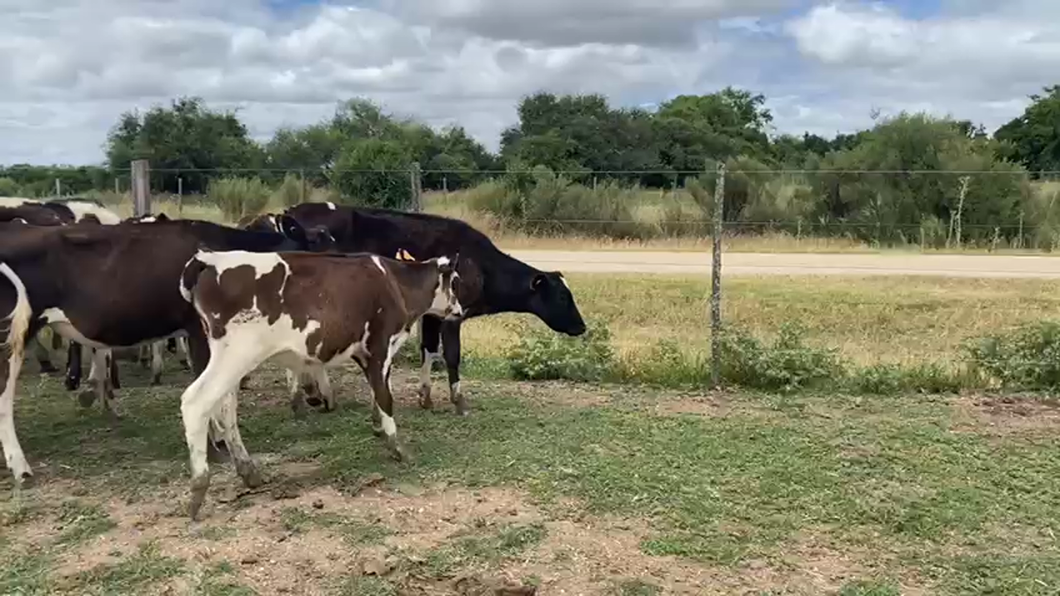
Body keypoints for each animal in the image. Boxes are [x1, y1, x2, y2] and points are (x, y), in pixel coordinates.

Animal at [177, 248, 460, 517]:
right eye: (456, 282)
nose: (459, 311)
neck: (395, 281)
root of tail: (208, 258)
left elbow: (380, 392)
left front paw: (379, 429)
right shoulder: (379, 346)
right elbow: (385, 397)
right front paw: (397, 447)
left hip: (233, 359)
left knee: (226, 407)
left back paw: (248, 471)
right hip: (236, 354)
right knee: (196, 402)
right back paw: (199, 489)